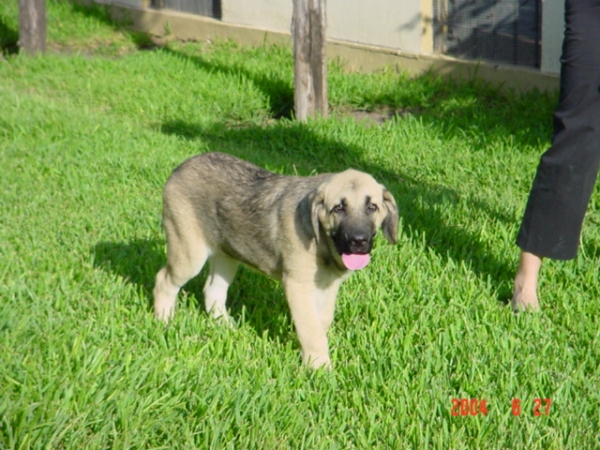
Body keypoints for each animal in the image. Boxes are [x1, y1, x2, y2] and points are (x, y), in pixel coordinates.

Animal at [154, 153, 398, 368]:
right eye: (338, 208)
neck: (322, 241)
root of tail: (182, 166)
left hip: (227, 254)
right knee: (163, 280)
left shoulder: (328, 286)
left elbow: (321, 321)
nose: (359, 241)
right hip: (189, 252)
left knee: (213, 290)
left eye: (372, 207)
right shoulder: (297, 285)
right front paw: (320, 368)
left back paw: (225, 326)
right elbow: (310, 329)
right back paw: (164, 322)